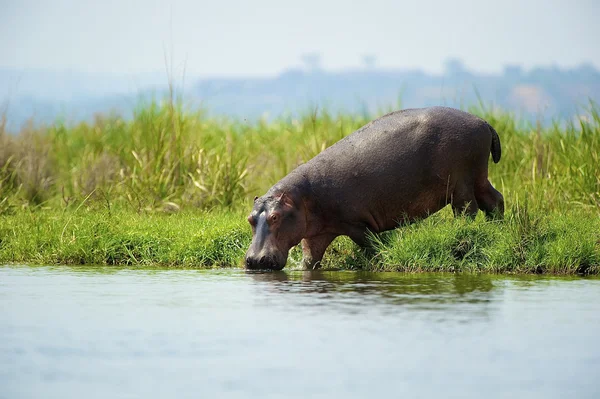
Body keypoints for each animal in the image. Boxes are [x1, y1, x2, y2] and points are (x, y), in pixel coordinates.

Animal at [244, 106, 502, 270]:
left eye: (275, 217)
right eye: (249, 219)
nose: (254, 261)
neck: (301, 199)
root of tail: (484, 123)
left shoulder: (357, 224)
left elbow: (371, 245)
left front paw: (379, 260)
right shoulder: (316, 233)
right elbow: (310, 259)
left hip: (461, 183)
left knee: (467, 211)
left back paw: (465, 234)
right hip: (478, 176)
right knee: (494, 200)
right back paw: (496, 228)